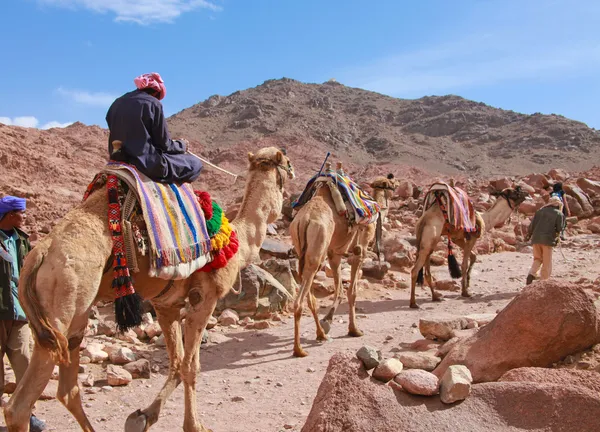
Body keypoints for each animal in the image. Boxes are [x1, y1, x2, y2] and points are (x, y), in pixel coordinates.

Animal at [4, 148, 296, 432]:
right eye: (287, 163)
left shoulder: (167, 304)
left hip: (70, 317)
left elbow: (177, 363)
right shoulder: (204, 298)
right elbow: (191, 366)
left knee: (68, 390)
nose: (293, 185)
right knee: (18, 407)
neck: (237, 239)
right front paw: (194, 426)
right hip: (63, 302)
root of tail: (39, 253)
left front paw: (142, 417)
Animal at [288, 164, 378, 356]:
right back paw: (299, 349)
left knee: (310, 296)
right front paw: (354, 330)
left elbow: (340, 289)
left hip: (306, 253)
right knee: (299, 301)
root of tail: (304, 220)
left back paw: (321, 334)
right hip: (317, 250)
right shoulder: (360, 250)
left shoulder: (334, 253)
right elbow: (352, 291)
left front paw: (328, 321)